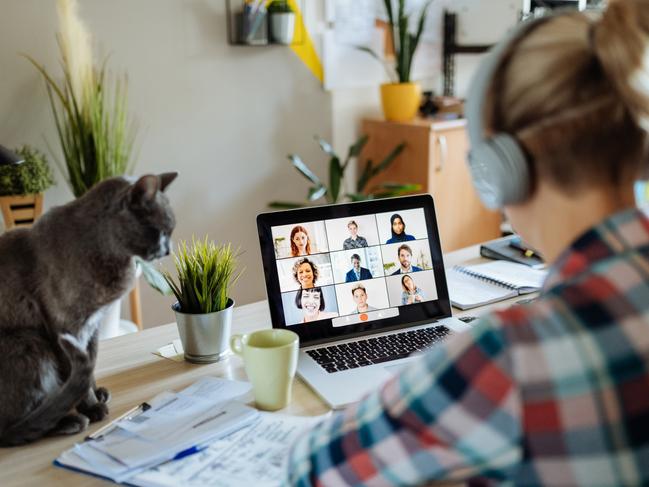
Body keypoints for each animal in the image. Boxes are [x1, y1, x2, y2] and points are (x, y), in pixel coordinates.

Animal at [0, 173, 177, 446]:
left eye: (170, 232)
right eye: (159, 231)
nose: (168, 250)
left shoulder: (91, 327)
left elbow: (90, 366)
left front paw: (96, 393)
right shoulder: (64, 327)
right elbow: (76, 368)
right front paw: (92, 408)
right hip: (29, 341)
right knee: (11, 429)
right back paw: (68, 420)